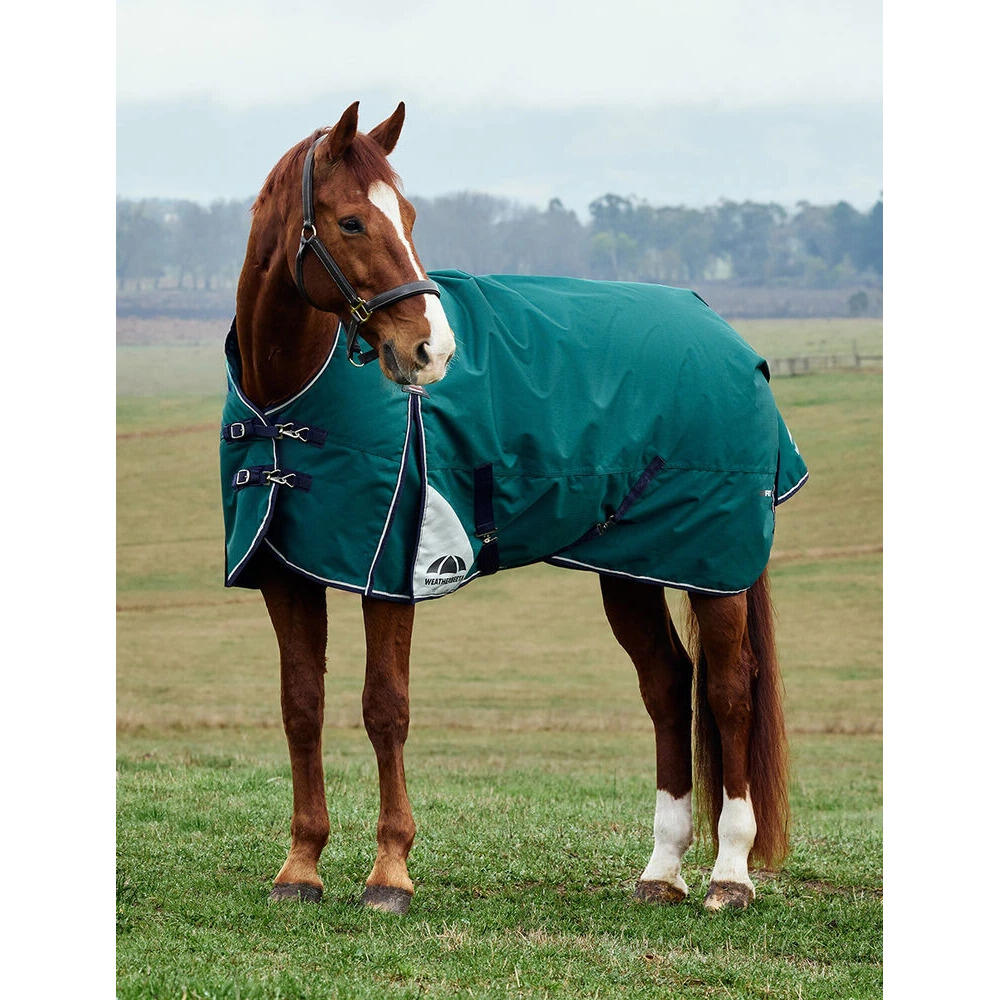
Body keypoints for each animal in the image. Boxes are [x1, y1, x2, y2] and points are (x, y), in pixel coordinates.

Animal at [227, 101, 797, 915]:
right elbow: (301, 704)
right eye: (351, 222)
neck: (289, 402)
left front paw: (389, 874)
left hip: (713, 564)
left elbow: (384, 707)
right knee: (667, 685)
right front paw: (301, 868)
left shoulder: (391, 573)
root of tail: (726, 334)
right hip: (630, 564)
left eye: (407, 215)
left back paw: (730, 875)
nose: (431, 350)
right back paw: (661, 871)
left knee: (727, 689)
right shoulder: (287, 573)